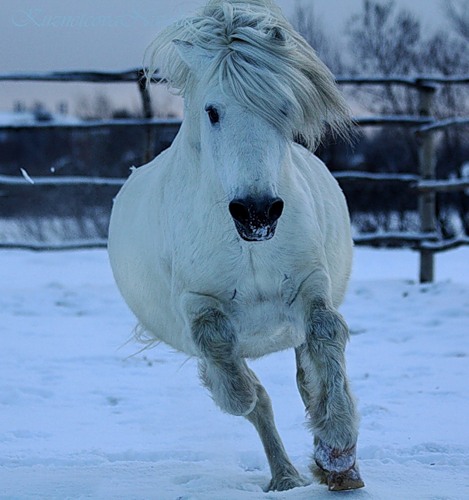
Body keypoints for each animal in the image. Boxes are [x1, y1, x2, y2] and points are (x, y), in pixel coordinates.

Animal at [108, 0, 364, 492]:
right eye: (212, 111)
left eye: (284, 106)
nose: (257, 211)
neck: (250, 249)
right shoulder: (198, 304)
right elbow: (240, 389)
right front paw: (242, 394)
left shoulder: (310, 284)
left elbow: (327, 337)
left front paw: (337, 444)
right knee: (257, 394)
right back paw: (285, 477)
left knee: (306, 375)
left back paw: (337, 469)